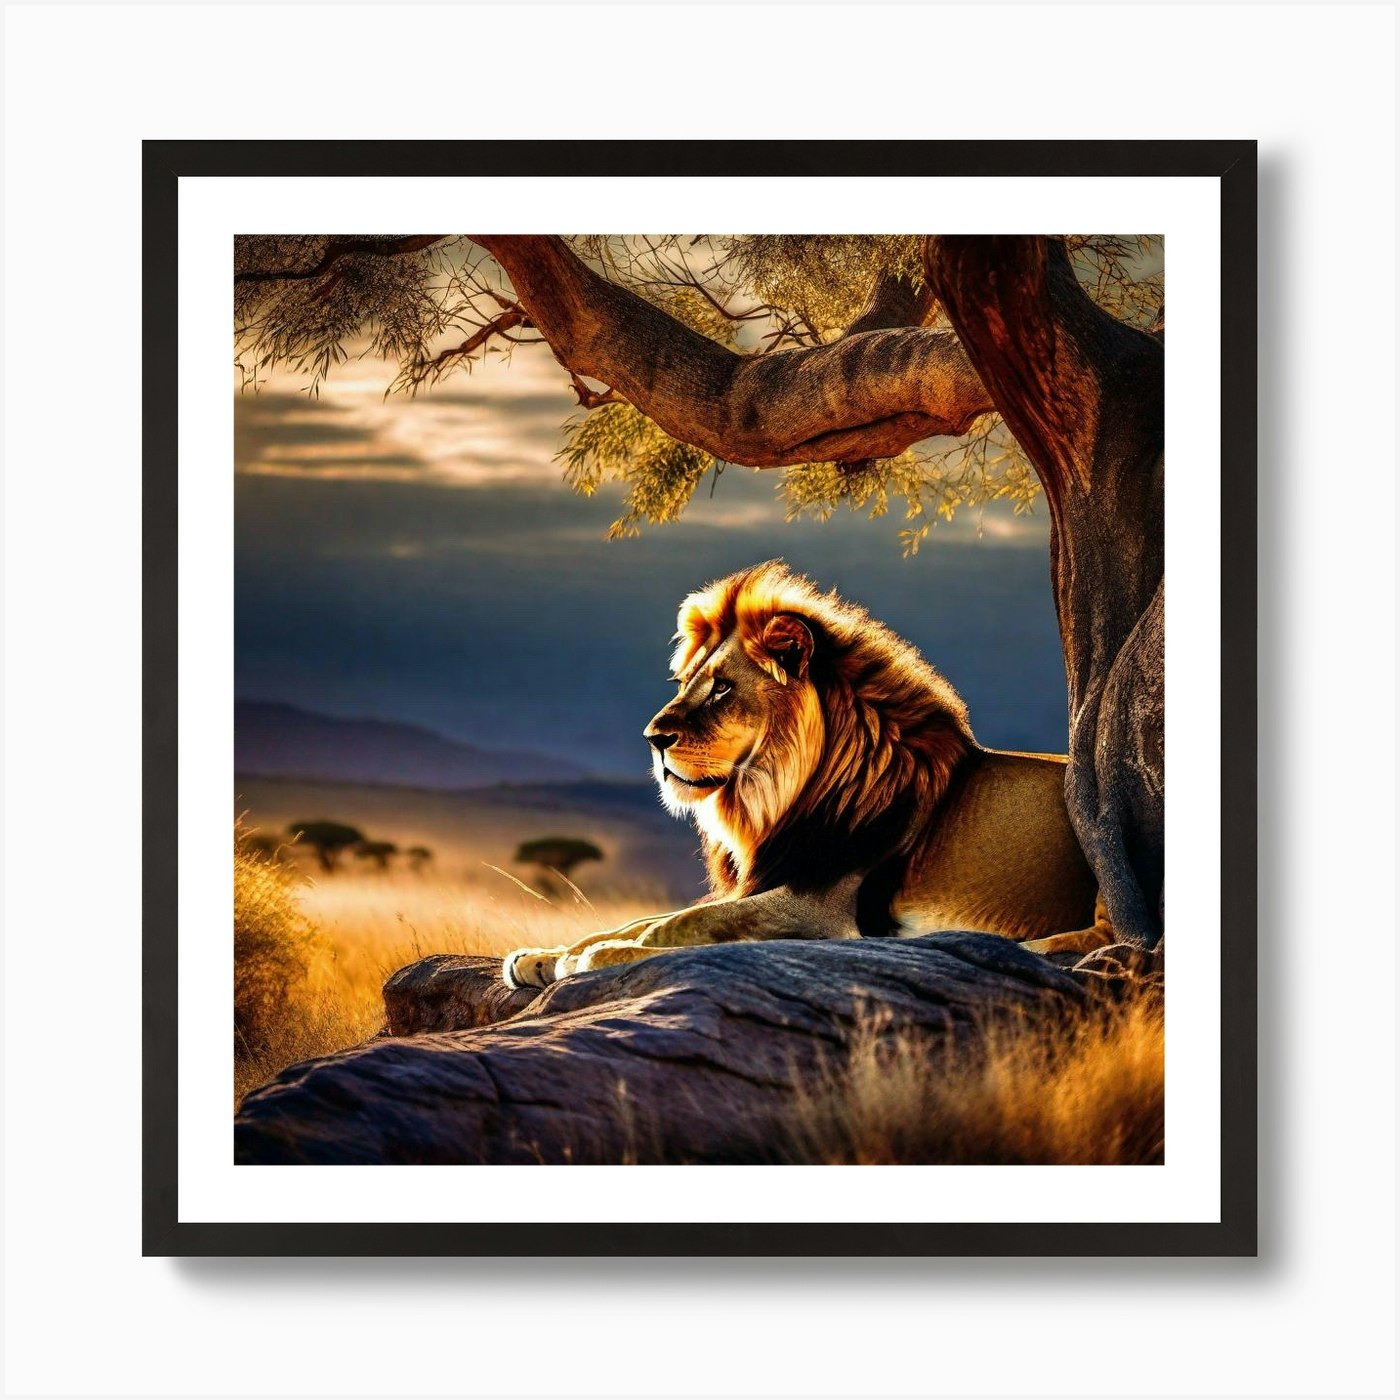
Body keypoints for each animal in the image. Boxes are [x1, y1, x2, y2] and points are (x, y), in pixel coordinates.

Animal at [502, 561, 1112, 989]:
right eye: (686, 682)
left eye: (722, 688)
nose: (653, 738)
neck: (776, 798)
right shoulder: (773, 879)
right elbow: (650, 917)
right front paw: (543, 957)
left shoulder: (822, 906)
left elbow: (679, 925)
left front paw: (598, 957)